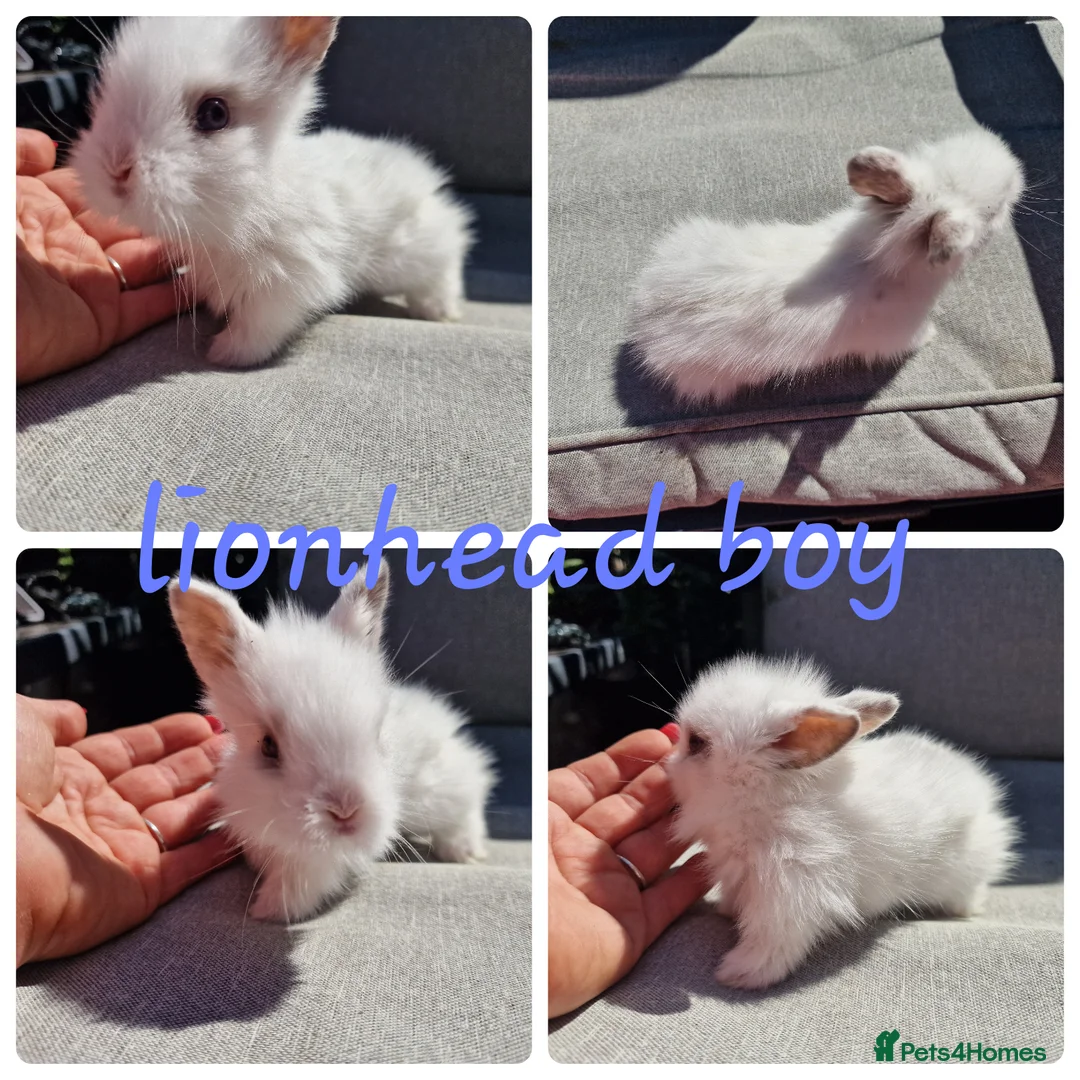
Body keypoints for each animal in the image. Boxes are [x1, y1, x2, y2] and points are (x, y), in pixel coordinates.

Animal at [71, 16, 473, 368]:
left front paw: (225, 354)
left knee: (447, 261)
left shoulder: (287, 283)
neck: (244, 201)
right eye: (103, 93)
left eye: (214, 114)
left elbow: (258, 326)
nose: (116, 170)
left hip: (417, 250)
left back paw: (440, 312)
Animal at [168, 561, 495, 922]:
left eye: (377, 731)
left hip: (441, 790)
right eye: (268, 745)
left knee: (469, 802)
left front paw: (267, 909)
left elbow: (302, 879)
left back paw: (467, 852)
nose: (346, 811)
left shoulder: (318, 862)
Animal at [630, 127, 1024, 402]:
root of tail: (646, 319)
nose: (1014, 163)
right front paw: (932, 335)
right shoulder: (897, 336)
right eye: (997, 210)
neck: (881, 254)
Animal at [666, 654, 1018, 990]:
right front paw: (726, 911)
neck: (770, 801)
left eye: (696, 742)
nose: (667, 765)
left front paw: (737, 974)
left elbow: (773, 939)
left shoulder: (794, 885)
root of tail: (981, 790)